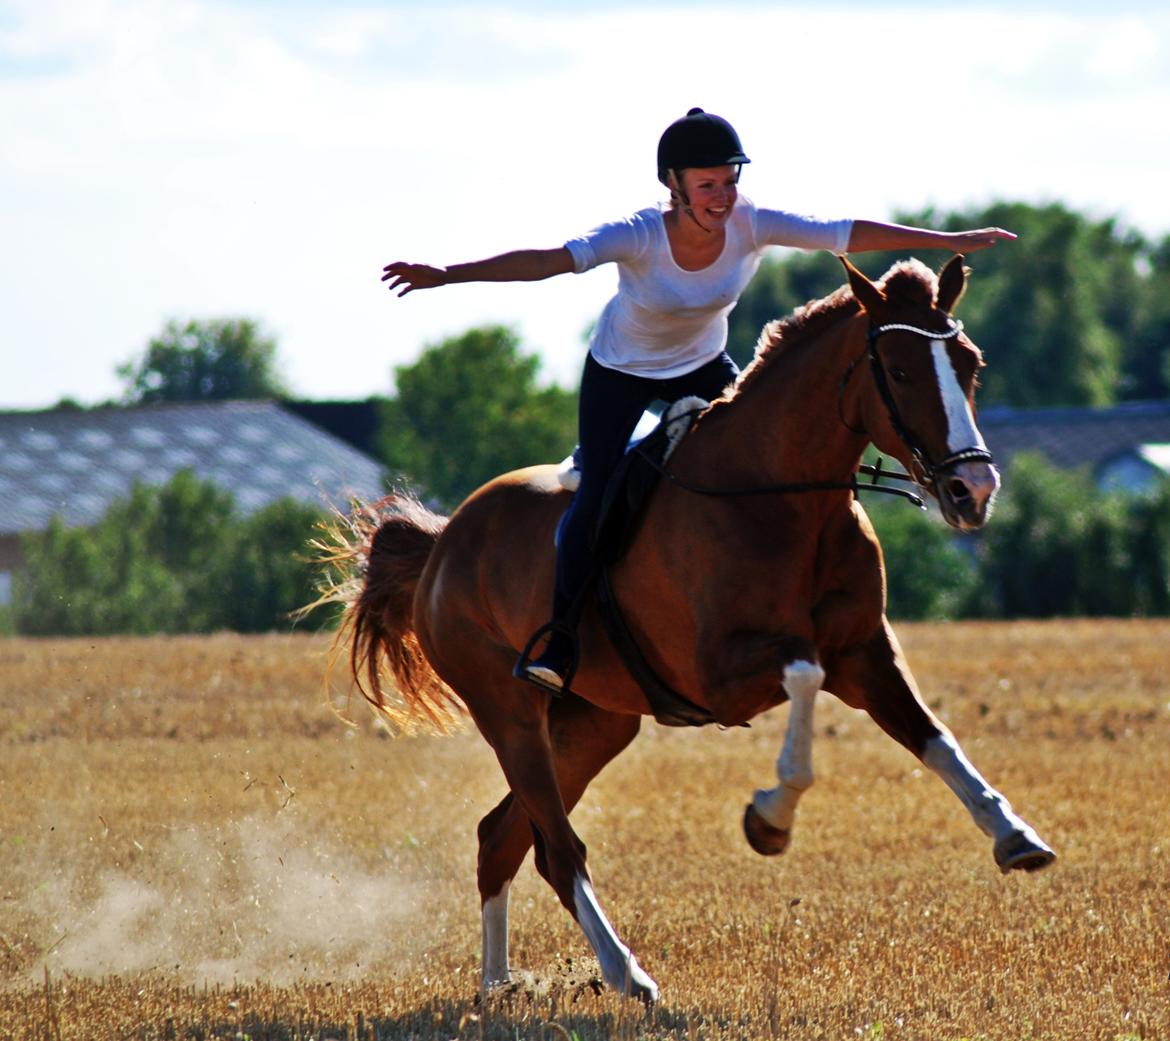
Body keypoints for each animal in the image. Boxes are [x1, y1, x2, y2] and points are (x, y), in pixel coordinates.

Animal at [327, 256, 1053, 1001]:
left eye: (969, 364)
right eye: (902, 371)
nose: (973, 490)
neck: (783, 496)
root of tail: (444, 543)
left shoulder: (865, 652)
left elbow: (934, 737)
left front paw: (1013, 833)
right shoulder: (724, 675)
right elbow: (805, 673)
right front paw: (769, 819)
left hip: (594, 723)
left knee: (501, 836)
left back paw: (499, 987)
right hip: (511, 715)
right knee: (557, 848)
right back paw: (625, 972)